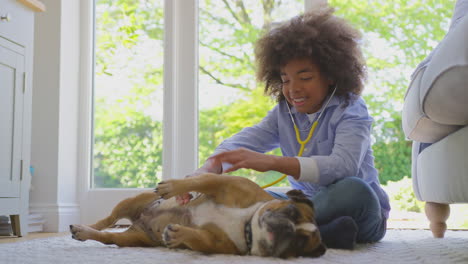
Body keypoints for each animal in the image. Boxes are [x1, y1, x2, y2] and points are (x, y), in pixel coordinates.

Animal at [69, 173, 326, 258]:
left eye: (299, 243)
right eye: (292, 212)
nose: (288, 229)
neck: (247, 224)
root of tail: (140, 220)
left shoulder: (215, 242)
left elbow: (198, 238)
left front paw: (177, 234)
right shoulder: (223, 183)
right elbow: (200, 180)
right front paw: (172, 187)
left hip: (132, 239)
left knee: (109, 236)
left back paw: (85, 232)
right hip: (129, 202)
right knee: (108, 220)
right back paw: (84, 226)